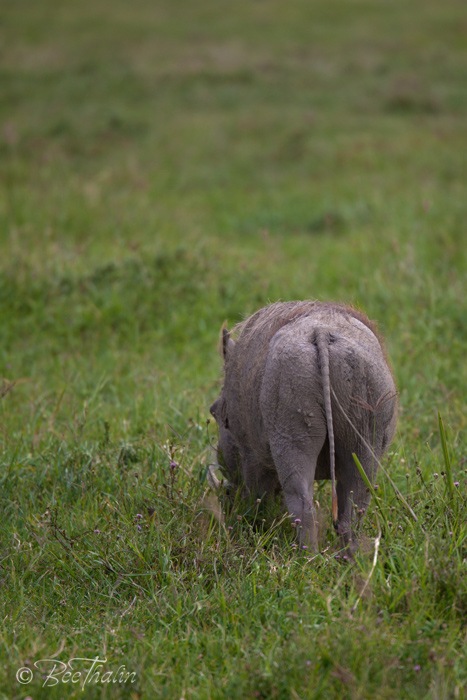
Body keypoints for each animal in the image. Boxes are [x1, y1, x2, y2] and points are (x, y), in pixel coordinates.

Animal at [209, 301, 397, 553]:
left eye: (216, 413)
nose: (227, 499)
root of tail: (323, 332)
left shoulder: (250, 453)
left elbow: (258, 495)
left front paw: (254, 526)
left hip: (291, 435)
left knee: (302, 504)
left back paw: (307, 558)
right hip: (365, 440)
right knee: (352, 510)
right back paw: (347, 559)